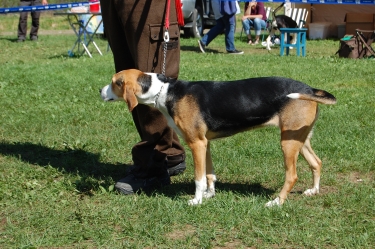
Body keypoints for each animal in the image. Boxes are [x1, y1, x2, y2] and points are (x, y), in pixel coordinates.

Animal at [100, 68, 338, 206]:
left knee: (292, 176)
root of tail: (310, 89)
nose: (100, 91)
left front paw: (196, 200)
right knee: (317, 162)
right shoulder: (205, 144)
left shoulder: (196, 143)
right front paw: (209, 195)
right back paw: (313, 191)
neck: (166, 91)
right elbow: (209, 175)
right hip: (299, 139)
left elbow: (198, 178)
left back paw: (277, 202)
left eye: (113, 82)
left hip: (288, 143)